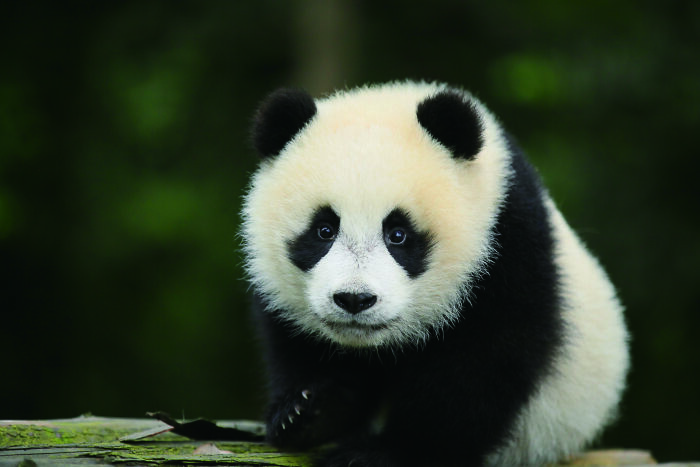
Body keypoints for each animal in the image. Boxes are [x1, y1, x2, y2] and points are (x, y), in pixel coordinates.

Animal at [241, 81, 629, 467]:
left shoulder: (506, 245)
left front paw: (388, 451)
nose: (355, 299)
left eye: (398, 234)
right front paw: (304, 412)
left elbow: (483, 361)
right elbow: (295, 345)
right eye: (324, 230)